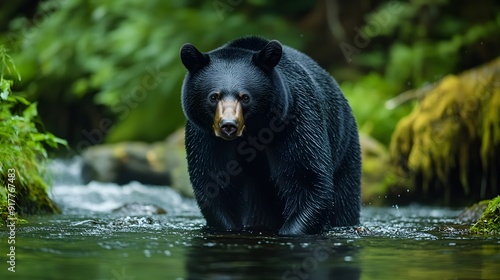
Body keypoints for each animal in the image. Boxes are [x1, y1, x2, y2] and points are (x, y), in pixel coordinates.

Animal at [180, 36, 360, 235]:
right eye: (214, 96)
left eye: (245, 97)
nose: (228, 125)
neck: (253, 131)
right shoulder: (206, 137)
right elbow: (213, 180)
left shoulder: (295, 119)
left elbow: (307, 175)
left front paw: (290, 231)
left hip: (345, 151)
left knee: (345, 199)